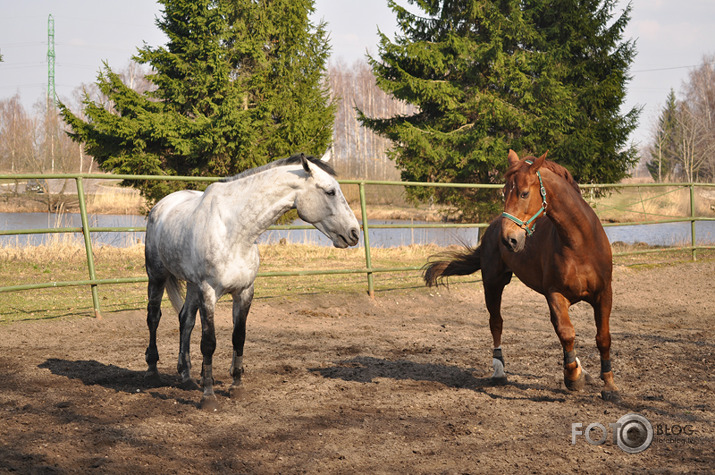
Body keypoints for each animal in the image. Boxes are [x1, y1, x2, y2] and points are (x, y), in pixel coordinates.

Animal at [143, 152, 360, 410]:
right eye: (330, 191)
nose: (354, 233)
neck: (235, 233)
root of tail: (161, 206)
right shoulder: (208, 292)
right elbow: (209, 342)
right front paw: (208, 397)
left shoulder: (244, 291)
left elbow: (239, 338)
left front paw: (237, 387)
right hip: (157, 277)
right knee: (154, 318)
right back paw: (152, 371)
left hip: (192, 286)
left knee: (186, 320)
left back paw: (186, 377)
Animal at [426, 150, 620, 402]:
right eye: (503, 193)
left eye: (524, 193)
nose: (509, 239)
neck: (580, 244)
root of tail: (492, 228)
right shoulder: (555, 295)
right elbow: (567, 333)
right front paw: (572, 377)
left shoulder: (604, 294)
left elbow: (602, 338)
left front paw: (609, 386)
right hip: (493, 283)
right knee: (496, 323)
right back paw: (499, 371)